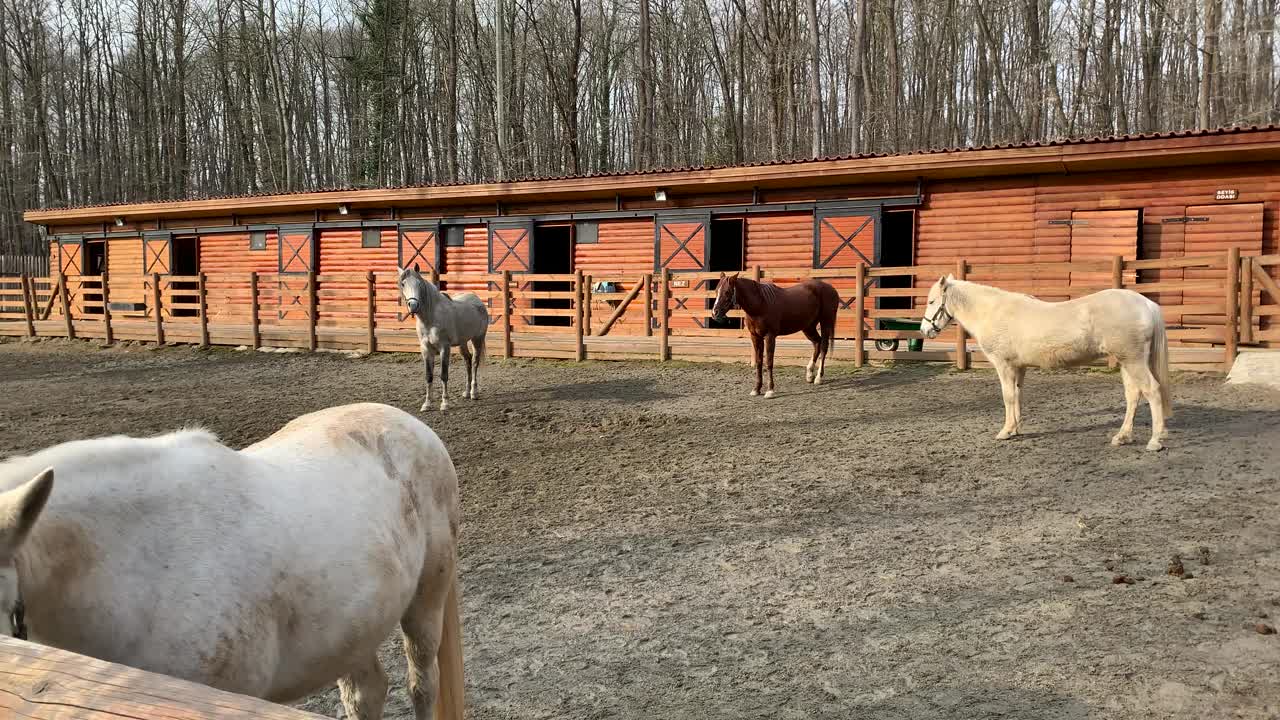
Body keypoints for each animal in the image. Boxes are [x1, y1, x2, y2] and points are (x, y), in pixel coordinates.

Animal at [396, 265, 486, 412]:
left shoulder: (445, 348)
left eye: (419, 284)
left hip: (477, 339)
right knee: (467, 361)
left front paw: (445, 404)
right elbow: (429, 376)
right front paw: (426, 404)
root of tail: (478, 300)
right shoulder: (426, 350)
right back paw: (466, 392)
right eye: (403, 284)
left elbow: (444, 375)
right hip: (462, 342)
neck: (430, 318)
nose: (413, 306)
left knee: (474, 363)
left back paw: (474, 393)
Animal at [711, 271, 839, 394]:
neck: (761, 304)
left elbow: (769, 362)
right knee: (817, 343)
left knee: (823, 346)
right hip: (808, 327)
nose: (715, 313)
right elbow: (759, 362)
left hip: (825, 323)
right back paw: (809, 375)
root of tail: (831, 289)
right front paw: (756, 389)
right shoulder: (755, 337)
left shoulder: (770, 336)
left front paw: (770, 390)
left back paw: (818, 378)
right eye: (716, 290)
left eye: (727, 292)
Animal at [921, 274, 1172, 448]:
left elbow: (1008, 396)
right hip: (1127, 362)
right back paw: (1122, 436)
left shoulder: (1004, 365)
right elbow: (1018, 395)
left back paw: (1155, 441)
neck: (994, 312)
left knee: (1152, 390)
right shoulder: (1019, 367)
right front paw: (1016, 429)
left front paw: (1005, 431)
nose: (924, 330)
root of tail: (1146, 304)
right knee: (1133, 395)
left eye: (932, 301)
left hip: (1133, 361)